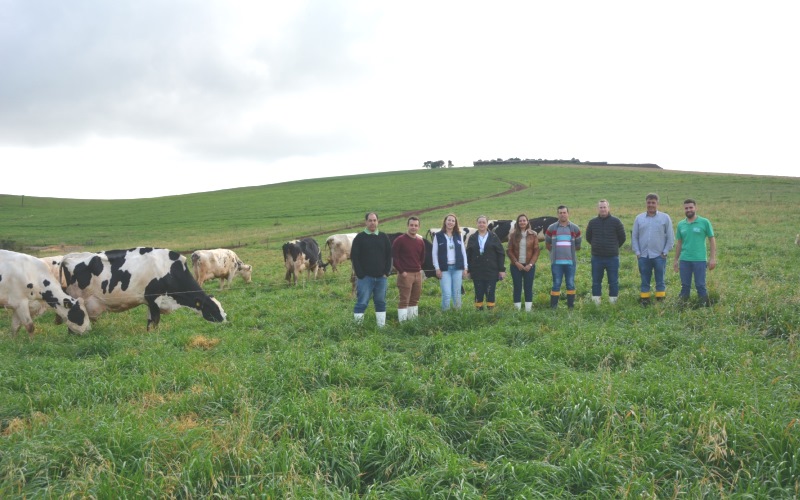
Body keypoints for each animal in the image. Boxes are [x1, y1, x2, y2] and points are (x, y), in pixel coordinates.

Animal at [60, 247, 225, 332]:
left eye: (221, 306)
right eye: (213, 308)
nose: (226, 319)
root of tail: (68, 257)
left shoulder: (149, 302)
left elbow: (149, 319)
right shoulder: (154, 298)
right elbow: (156, 319)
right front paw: (156, 335)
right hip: (75, 303)